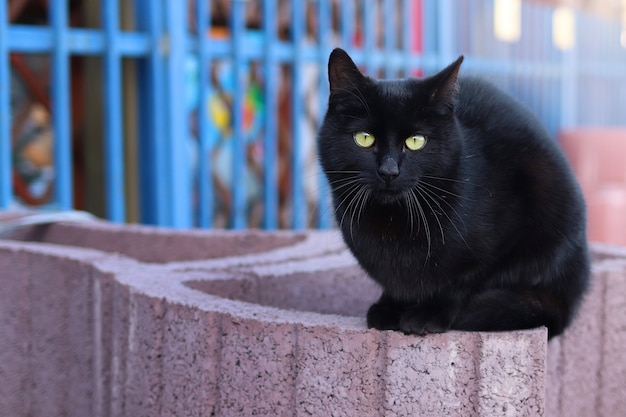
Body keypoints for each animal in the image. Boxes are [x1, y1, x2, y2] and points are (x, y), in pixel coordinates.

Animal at [320, 48, 588, 338]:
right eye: (364, 137)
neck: (392, 222)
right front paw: (390, 306)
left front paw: (430, 312)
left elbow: (463, 282)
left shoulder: (501, 243)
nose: (389, 171)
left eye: (416, 141)